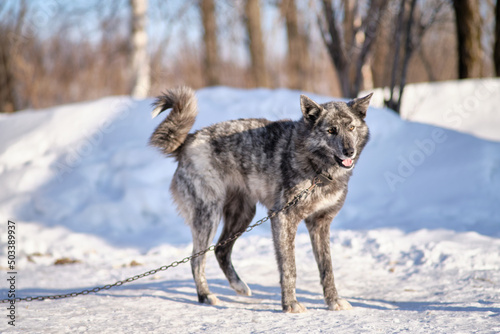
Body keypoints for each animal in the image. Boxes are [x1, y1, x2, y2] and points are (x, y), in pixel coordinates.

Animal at [148, 87, 372, 314]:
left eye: (351, 127)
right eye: (331, 130)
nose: (349, 151)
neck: (318, 169)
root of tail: (188, 140)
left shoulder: (320, 224)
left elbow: (327, 269)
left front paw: (333, 301)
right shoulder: (282, 218)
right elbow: (289, 268)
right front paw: (290, 304)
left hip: (243, 215)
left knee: (221, 249)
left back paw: (238, 286)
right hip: (209, 216)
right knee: (197, 258)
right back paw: (206, 295)